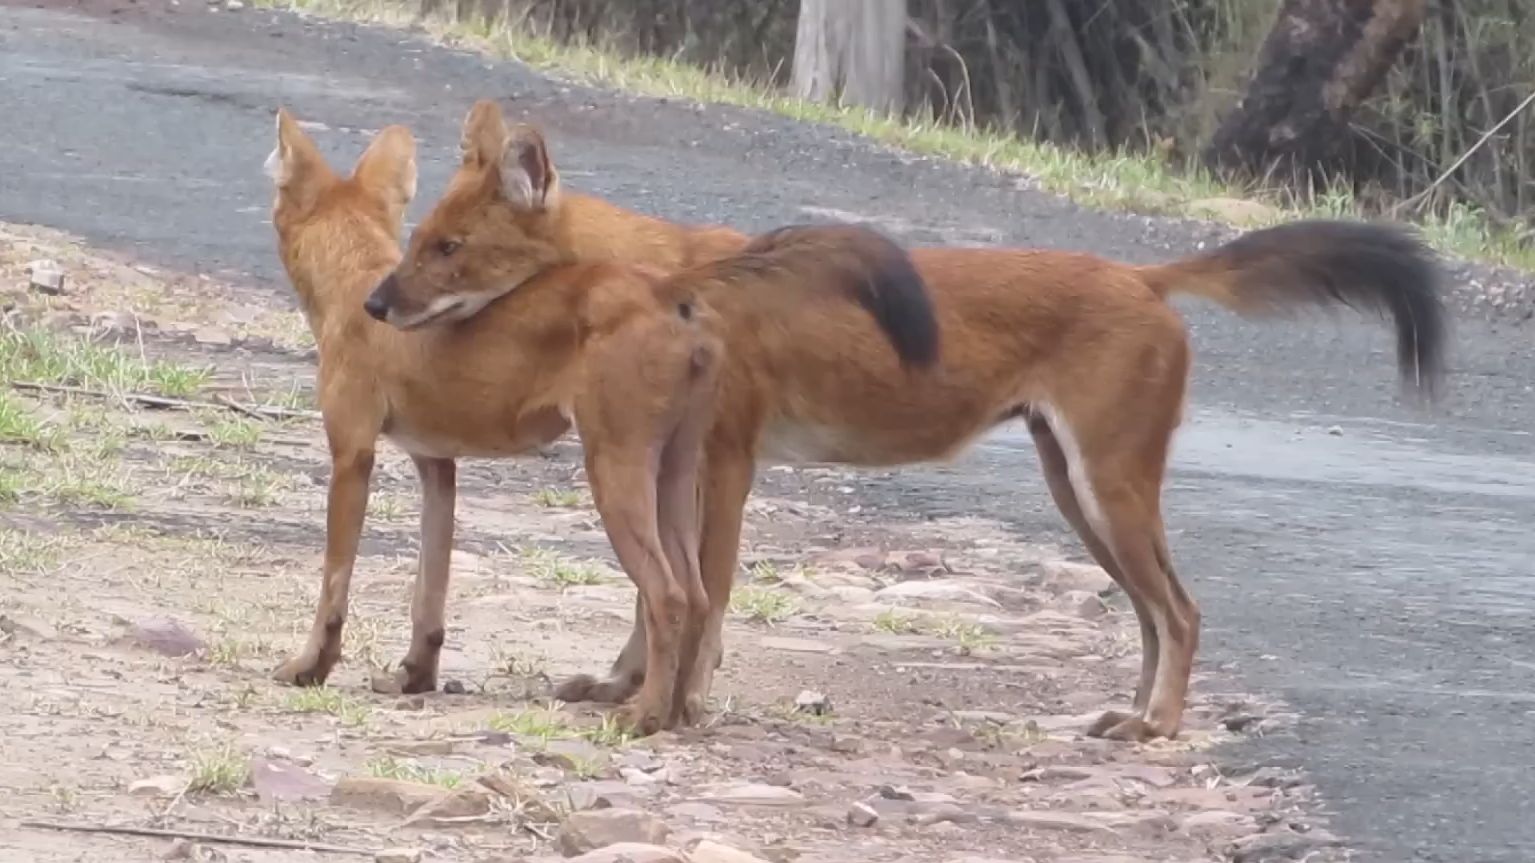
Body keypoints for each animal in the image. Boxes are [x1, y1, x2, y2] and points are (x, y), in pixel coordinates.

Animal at [262, 105, 933, 724]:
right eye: (418, 239)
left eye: (450, 247)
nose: (377, 306)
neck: (354, 277)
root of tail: (669, 291)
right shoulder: (438, 466)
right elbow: (431, 587)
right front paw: (414, 677)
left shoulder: (352, 454)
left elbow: (335, 581)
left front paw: (309, 666)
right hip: (673, 471)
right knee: (696, 594)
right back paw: (668, 710)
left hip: (615, 471)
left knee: (666, 594)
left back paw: (645, 718)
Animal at [365, 99, 1442, 740]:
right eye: (416, 237)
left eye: (447, 247)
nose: (373, 301)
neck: (668, 277)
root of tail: (1144, 275)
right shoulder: (681, 460)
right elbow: (653, 595)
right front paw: (626, 688)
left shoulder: (727, 460)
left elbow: (698, 593)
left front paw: (681, 701)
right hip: (1075, 490)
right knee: (1152, 611)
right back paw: (1131, 713)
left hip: (1109, 485)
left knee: (1179, 608)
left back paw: (1155, 726)